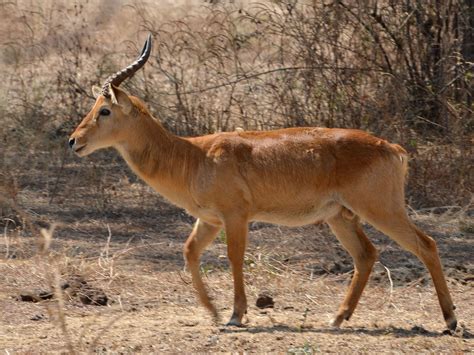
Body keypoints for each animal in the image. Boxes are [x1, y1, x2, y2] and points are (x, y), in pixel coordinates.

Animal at [68, 34, 458, 332]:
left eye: (105, 109)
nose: (74, 141)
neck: (195, 156)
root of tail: (392, 148)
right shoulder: (209, 220)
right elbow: (190, 251)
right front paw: (213, 312)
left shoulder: (236, 216)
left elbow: (234, 257)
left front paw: (236, 315)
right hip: (341, 216)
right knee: (366, 254)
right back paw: (337, 318)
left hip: (380, 210)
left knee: (426, 244)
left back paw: (450, 321)